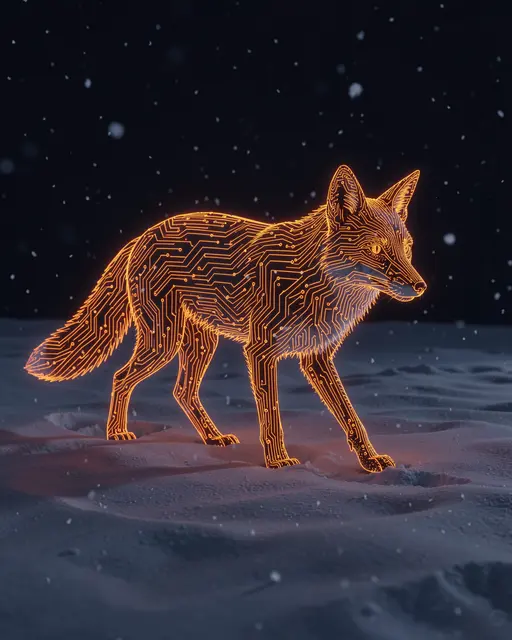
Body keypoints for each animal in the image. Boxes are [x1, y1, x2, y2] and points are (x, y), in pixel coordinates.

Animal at [25, 164, 426, 472]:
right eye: (376, 249)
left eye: (406, 248)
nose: (420, 286)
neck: (315, 284)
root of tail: (141, 236)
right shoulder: (261, 351)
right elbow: (272, 418)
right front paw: (278, 463)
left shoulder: (316, 358)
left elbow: (351, 417)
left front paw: (370, 461)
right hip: (163, 343)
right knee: (121, 377)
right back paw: (116, 436)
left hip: (202, 344)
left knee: (182, 391)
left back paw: (212, 437)